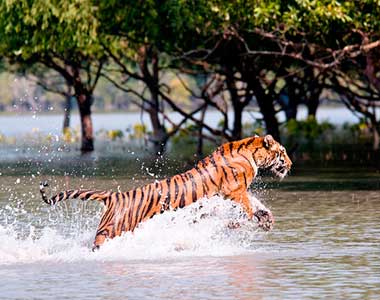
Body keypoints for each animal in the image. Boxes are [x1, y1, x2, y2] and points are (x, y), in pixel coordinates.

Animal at [40, 135, 292, 250]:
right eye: (283, 152)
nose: (290, 164)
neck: (252, 152)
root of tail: (114, 196)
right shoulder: (234, 191)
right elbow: (247, 207)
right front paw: (253, 220)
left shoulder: (233, 193)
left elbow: (255, 203)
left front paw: (266, 218)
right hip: (111, 231)